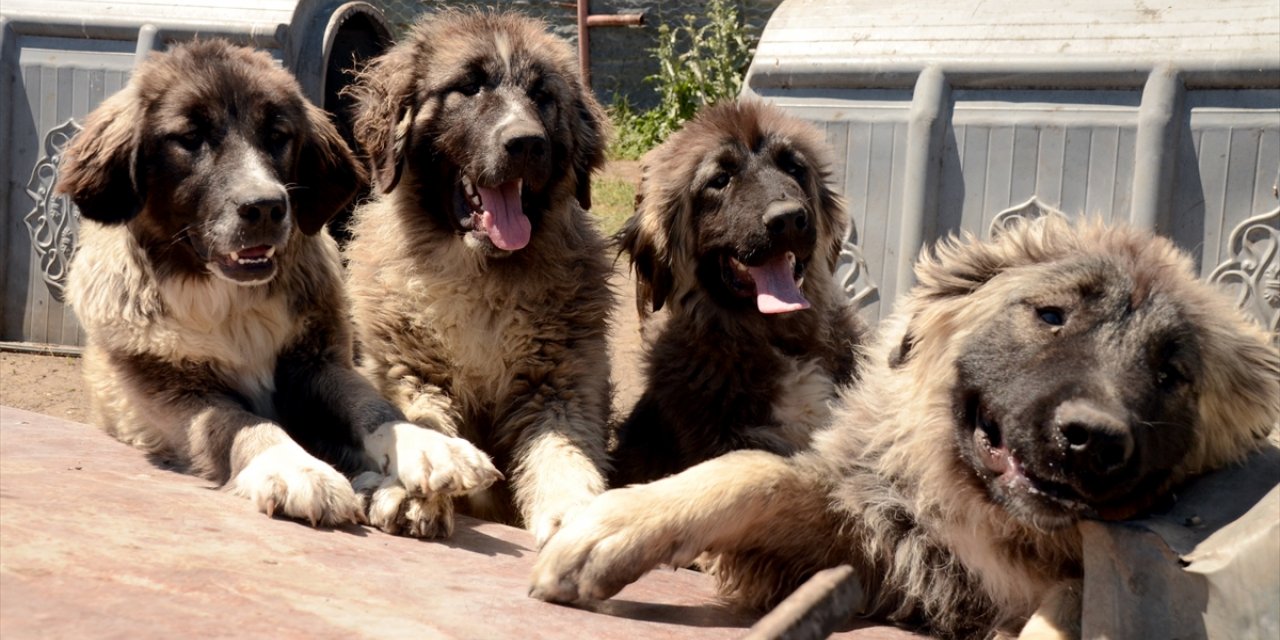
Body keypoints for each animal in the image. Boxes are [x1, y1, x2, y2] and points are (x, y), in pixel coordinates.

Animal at [61, 41, 499, 529]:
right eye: (190, 139)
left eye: (277, 136)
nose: (265, 207)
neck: (230, 300)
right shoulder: (171, 390)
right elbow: (239, 423)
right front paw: (296, 468)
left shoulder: (317, 364)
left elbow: (370, 404)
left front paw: (427, 446)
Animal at [524, 215, 1274, 640]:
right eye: (1051, 315)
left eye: (1172, 373)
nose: (1092, 439)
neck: (987, 520)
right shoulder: (868, 536)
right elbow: (755, 470)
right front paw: (616, 525)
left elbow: (1077, 595)